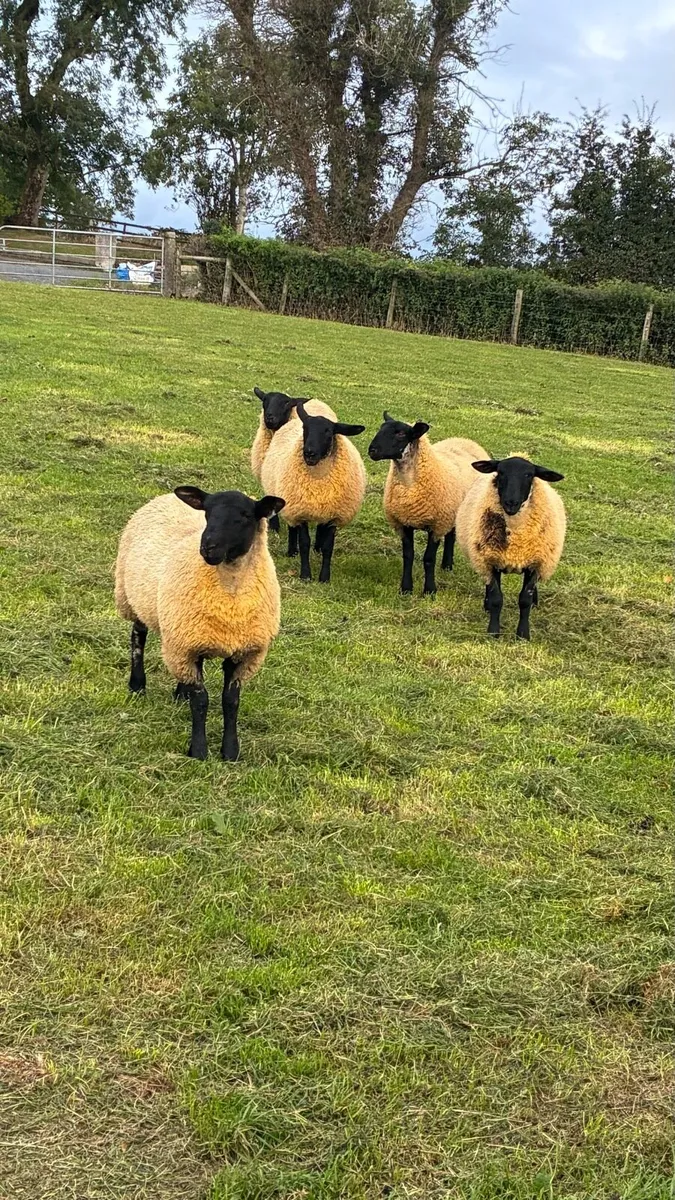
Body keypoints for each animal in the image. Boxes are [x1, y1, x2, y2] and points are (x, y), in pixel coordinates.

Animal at [114, 486, 285, 760]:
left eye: (245, 515)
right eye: (207, 512)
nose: (207, 547)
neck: (231, 594)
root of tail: (164, 496)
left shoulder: (243, 653)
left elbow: (231, 701)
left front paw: (230, 751)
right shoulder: (185, 645)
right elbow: (201, 701)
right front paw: (198, 750)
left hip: (188, 633)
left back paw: (180, 691)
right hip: (135, 598)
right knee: (137, 637)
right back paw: (137, 685)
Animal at [260, 400, 366, 583]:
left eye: (328, 431)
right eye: (305, 428)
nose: (309, 453)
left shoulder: (334, 515)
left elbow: (328, 547)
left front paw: (324, 577)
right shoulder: (301, 511)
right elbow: (304, 543)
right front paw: (306, 575)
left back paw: (317, 548)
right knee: (292, 528)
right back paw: (292, 551)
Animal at [368, 411, 490, 596]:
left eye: (400, 434)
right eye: (381, 428)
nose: (372, 450)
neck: (410, 485)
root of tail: (465, 440)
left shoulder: (437, 525)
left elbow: (429, 559)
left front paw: (430, 590)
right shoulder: (404, 523)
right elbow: (408, 556)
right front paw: (406, 589)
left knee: (451, 537)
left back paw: (447, 565)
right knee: (451, 535)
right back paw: (446, 566)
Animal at [455, 455, 566, 640]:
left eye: (529, 475)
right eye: (500, 472)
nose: (510, 503)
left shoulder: (535, 563)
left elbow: (525, 599)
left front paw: (523, 634)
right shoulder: (491, 560)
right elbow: (496, 598)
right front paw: (493, 631)